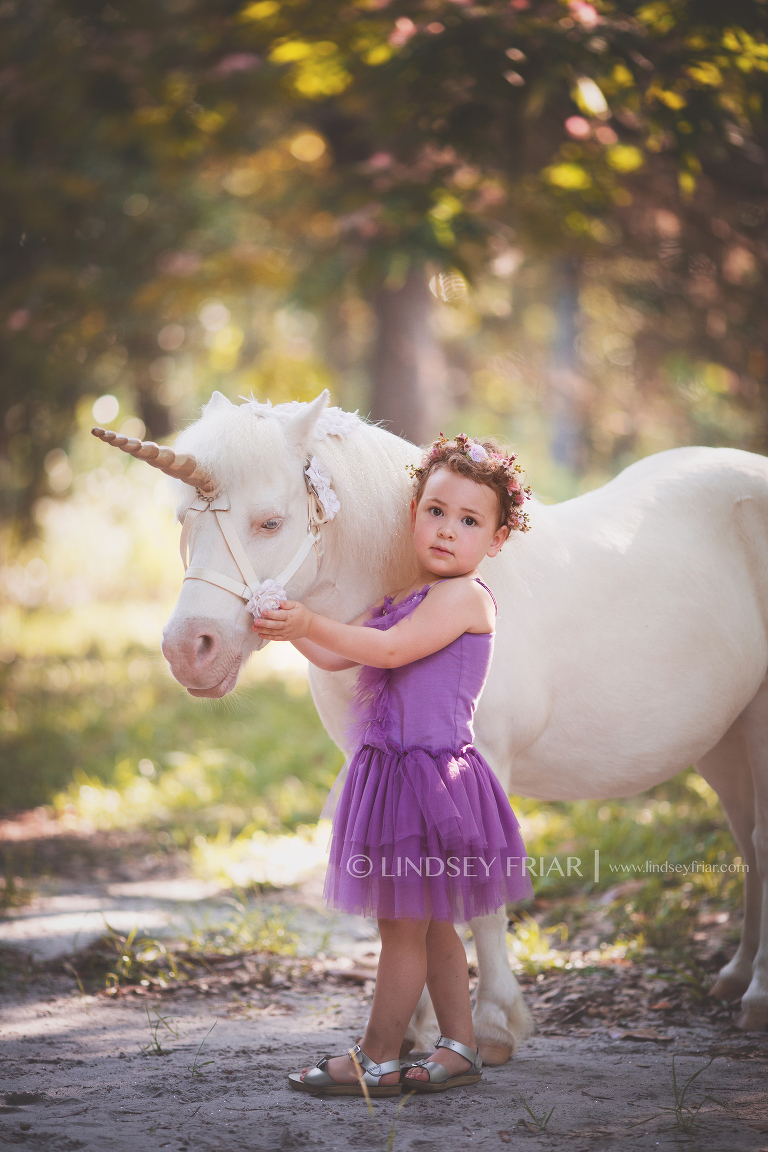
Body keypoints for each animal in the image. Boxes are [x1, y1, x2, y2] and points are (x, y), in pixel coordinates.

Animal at [94, 391, 768, 1055]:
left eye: (270, 522)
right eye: (185, 522)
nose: (188, 650)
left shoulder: (481, 760)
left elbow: (482, 890)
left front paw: (494, 1023)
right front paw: (411, 1029)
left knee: (759, 840)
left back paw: (756, 997)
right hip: (724, 740)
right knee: (746, 841)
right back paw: (734, 977)